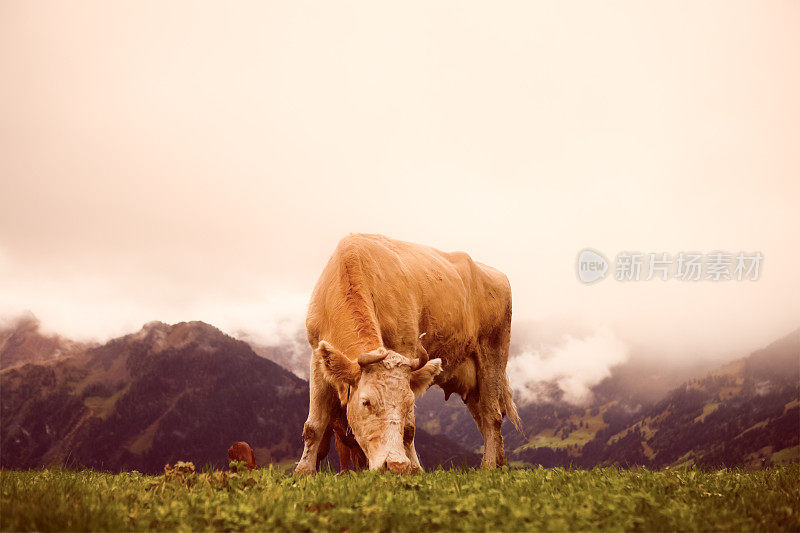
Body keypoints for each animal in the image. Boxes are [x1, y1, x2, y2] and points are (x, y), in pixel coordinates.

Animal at [294, 234, 520, 474]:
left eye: (409, 403)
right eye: (366, 402)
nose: (393, 464)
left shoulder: (406, 348)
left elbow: (409, 428)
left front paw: (414, 469)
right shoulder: (317, 357)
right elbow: (314, 424)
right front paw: (304, 471)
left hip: (493, 355)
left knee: (492, 415)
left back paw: (489, 466)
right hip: (472, 382)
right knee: (484, 418)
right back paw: (500, 463)